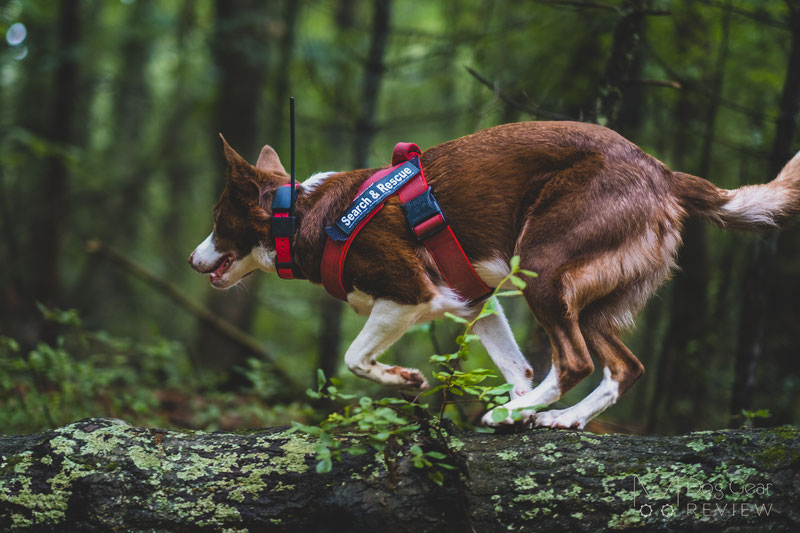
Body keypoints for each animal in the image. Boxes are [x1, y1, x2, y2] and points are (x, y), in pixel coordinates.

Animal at [189, 120, 800, 428]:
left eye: (218, 221)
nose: (193, 261)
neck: (303, 214)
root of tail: (664, 174)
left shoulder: (409, 295)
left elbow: (354, 358)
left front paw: (406, 380)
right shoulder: (472, 301)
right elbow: (516, 365)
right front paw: (515, 396)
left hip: (544, 269)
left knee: (576, 360)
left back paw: (513, 413)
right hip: (590, 296)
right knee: (625, 366)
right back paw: (561, 418)